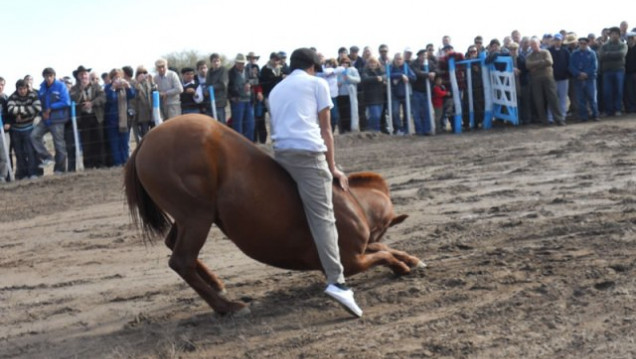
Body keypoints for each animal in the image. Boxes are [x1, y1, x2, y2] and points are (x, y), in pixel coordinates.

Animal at [123, 115, 422, 316]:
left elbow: (384, 248)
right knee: (181, 260)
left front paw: (411, 259)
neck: (354, 203)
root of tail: (147, 139)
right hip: (196, 217)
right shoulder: (350, 261)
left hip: (190, 218)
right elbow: (381, 254)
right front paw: (401, 266)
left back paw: (217, 285)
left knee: (174, 246)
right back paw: (228, 307)